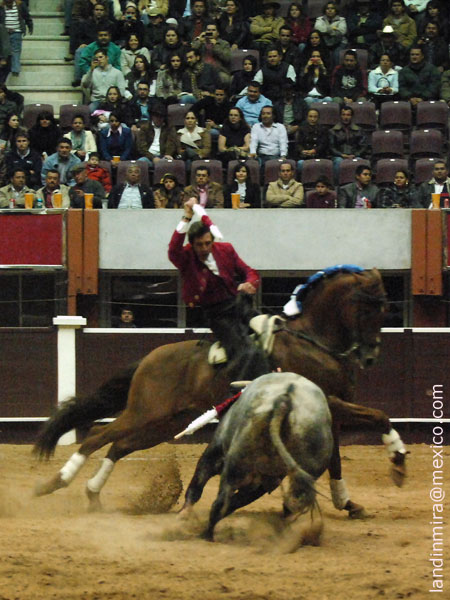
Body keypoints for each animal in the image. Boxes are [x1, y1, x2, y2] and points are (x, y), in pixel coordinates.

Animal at [34, 267, 407, 516]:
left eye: (385, 308)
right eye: (369, 307)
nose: (370, 356)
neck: (314, 340)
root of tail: (150, 358)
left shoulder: (330, 413)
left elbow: (336, 457)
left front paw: (348, 502)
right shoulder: (331, 403)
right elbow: (379, 416)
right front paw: (398, 461)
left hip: (166, 424)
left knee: (119, 446)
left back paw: (92, 492)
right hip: (144, 412)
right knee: (97, 436)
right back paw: (56, 482)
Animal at [182, 372, 334, 542]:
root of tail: (285, 400)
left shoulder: (216, 451)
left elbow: (198, 484)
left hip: (239, 466)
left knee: (219, 503)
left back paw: (206, 534)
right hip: (295, 475)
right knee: (291, 502)